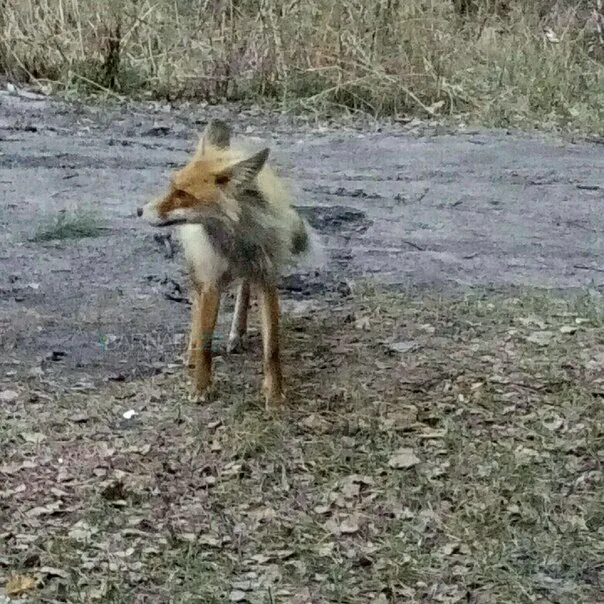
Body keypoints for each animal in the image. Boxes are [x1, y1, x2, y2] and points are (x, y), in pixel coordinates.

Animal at [137, 119, 316, 406]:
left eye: (182, 194)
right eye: (171, 186)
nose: (139, 211)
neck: (236, 242)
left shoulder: (266, 278)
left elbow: (272, 348)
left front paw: (274, 394)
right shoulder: (211, 281)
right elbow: (206, 342)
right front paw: (201, 387)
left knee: (243, 291)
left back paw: (237, 333)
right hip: (198, 269)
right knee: (196, 305)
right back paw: (192, 351)